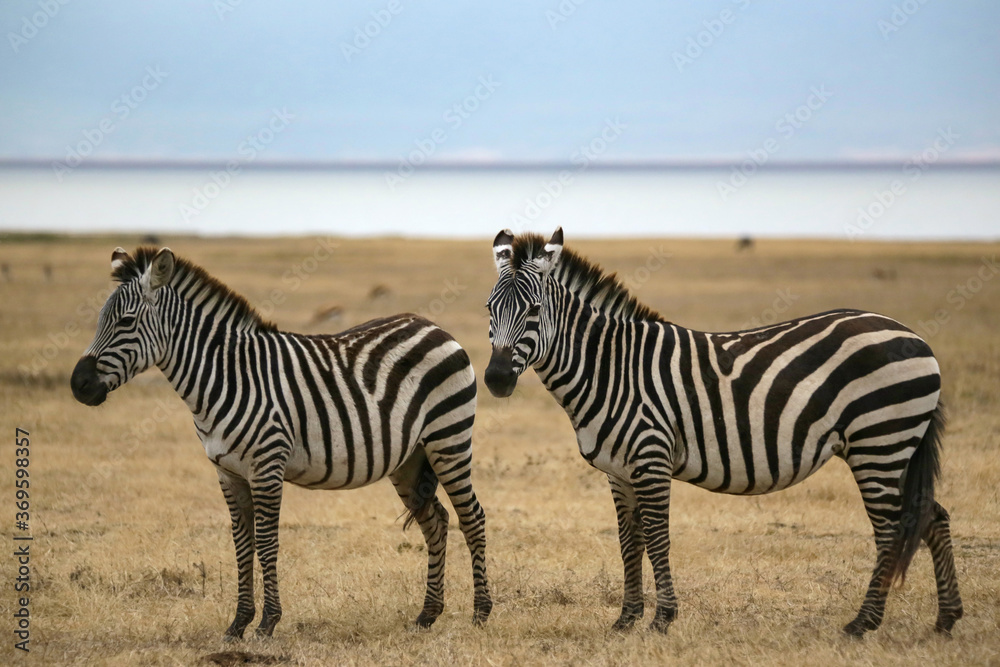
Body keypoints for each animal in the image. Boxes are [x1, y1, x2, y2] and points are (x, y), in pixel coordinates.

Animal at [70, 246, 492, 640]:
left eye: (125, 321)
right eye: (99, 320)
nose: (78, 385)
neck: (225, 377)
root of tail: (433, 325)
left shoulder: (266, 467)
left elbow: (268, 542)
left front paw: (268, 623)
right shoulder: (228, 474)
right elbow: (243, 545)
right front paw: (238, 623)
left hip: (449, 439)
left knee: (472, 517)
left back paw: (481, 613)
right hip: (409, 459)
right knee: (435, 522)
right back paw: (427, 615)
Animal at [483, 228, 962, 637]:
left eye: (534, 310)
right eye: (489, 310)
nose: (496, 379)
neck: (611, 368)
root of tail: (914, 336)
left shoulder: (651, 457)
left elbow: (657, 538)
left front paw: (662, 619)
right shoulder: (618, 472)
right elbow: (628, 542)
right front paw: (626, 620)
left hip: (879, 443)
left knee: (892, 527)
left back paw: (863, 623)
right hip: (897, 446)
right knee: (932, 517)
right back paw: (945, 620)